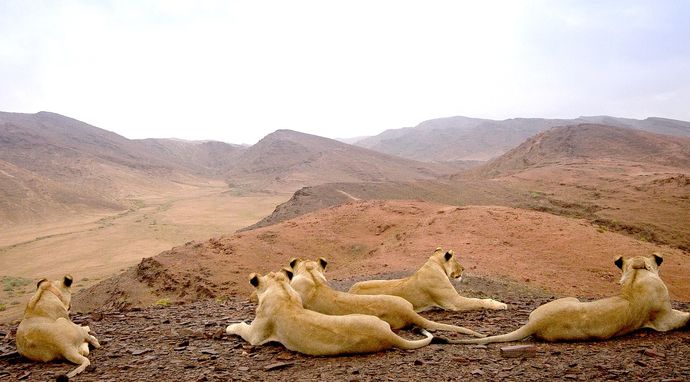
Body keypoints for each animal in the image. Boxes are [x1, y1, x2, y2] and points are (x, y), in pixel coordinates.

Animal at [350, 248, 506, 314]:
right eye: (456, 260)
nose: (463, 268)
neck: (436, 265)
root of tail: (350, 291)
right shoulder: (454, 301)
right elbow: (479, 301)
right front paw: (500, 304)